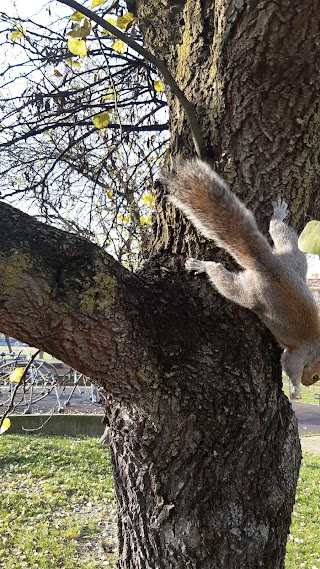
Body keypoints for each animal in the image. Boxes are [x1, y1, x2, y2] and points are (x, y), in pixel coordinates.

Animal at [166, 158, 320, 398]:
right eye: (316, 376)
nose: (308, 383)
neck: (316, 347)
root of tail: (270, 265)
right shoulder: (299, 354)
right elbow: (290, 366)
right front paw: (295, 389)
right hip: (250, 292)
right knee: (224, 281)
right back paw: (203, 266)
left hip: (293, 261)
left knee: (282, 235)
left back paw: (277, 215)